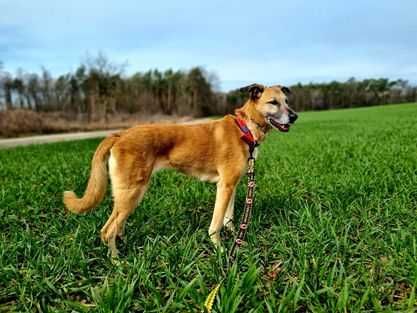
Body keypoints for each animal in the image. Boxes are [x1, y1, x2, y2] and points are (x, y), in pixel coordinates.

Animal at [62, 83, 296, 256]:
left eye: (286, 101)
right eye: (273, 103)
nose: (295, 116)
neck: (245, 127)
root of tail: (119, 134)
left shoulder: (232, 185)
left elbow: (228, 218)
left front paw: (235, 239)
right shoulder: (225, 186)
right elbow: (216, 224)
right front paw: (221, 250)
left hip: (128, 196)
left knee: (116, 226)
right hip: (132, 193)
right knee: (107, 230)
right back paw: (118, 262)